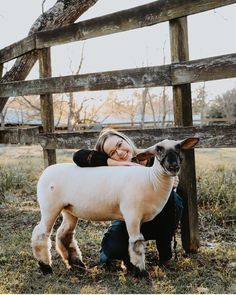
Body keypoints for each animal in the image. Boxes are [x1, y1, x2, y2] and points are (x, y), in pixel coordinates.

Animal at [30, 138, 198, 276]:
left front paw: (130, 266)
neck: (151, 180)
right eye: (158, 149)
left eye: (179, 147)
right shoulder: (132, 213)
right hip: (50, 206)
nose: (173, 166)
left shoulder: (135, 217)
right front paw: (141, 272)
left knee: (64, 234)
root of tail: (46, 171)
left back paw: (77, 265)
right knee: (40, 233)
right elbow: (137, 242)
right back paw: (46, 267)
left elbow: (130, 242)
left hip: (69, 209)